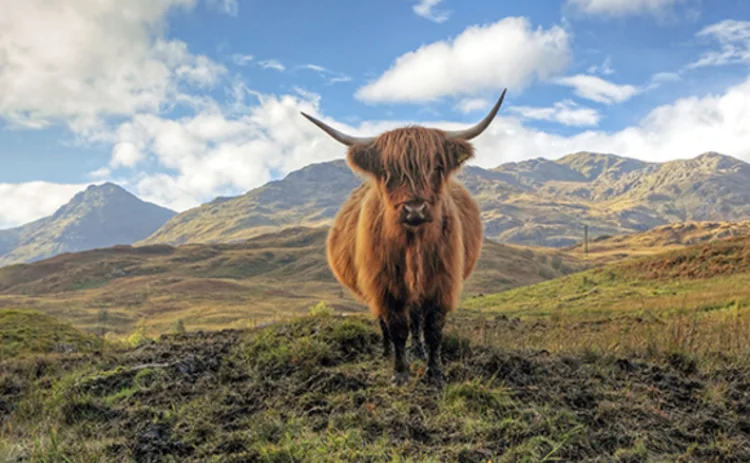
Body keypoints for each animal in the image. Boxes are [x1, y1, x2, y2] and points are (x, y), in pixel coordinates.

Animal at [298, 90, 506, 388]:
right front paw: (399, 372)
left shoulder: (441, 282)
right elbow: (396, 327)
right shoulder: (383, 284)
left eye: (437, 167)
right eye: (387, 171)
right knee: (385, 322)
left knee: (416, 319)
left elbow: (432, 329)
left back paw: (418, 351)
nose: (415, 209)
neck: (413, 246)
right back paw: (387, 352)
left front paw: (435, 374)